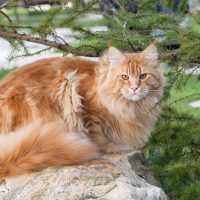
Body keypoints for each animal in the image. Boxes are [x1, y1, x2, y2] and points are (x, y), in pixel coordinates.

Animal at [0, 42, 162, 178]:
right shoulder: (86, 107)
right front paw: (108, 146)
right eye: (124, 77)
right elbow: (96, 132)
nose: (135, 88)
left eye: (143, 76)